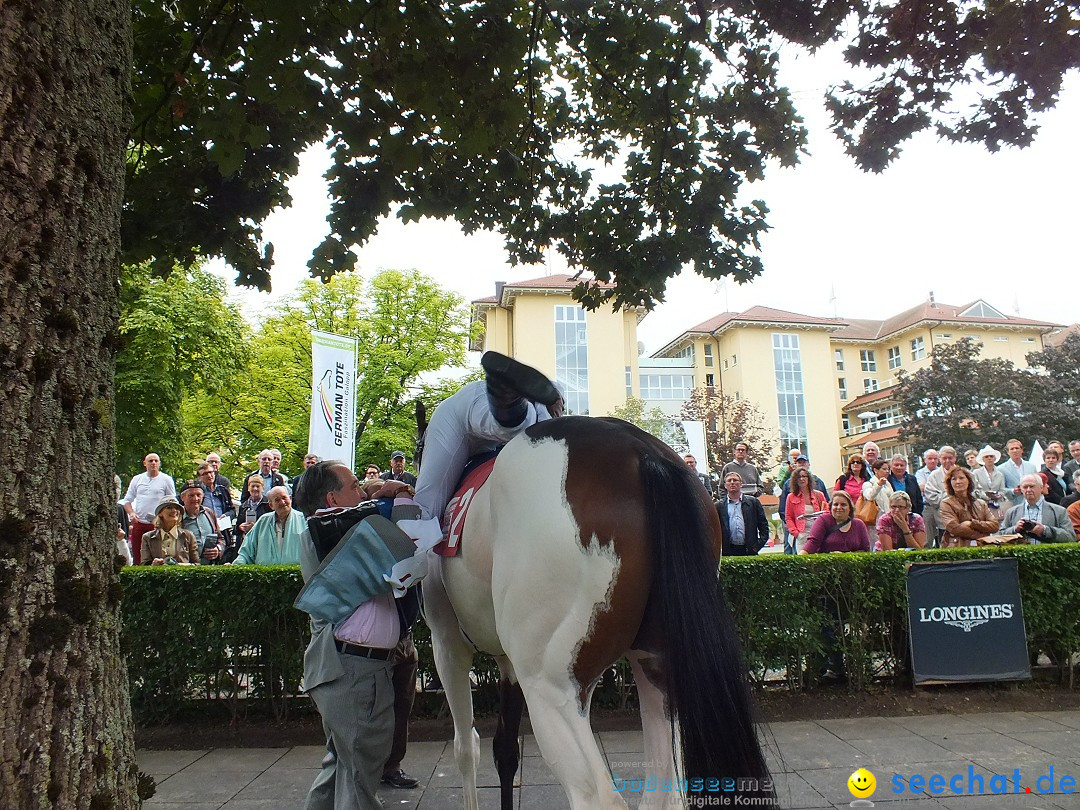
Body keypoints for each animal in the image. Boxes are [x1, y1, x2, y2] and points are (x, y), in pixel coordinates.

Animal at [423, 419, 777, 810]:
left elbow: (466, 746)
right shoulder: (507, 663)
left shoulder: (447, 643)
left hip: (550, 685)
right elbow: (505, 749)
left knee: (598, 795)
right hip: (657, 667)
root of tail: (643, 453)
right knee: (664, 793)